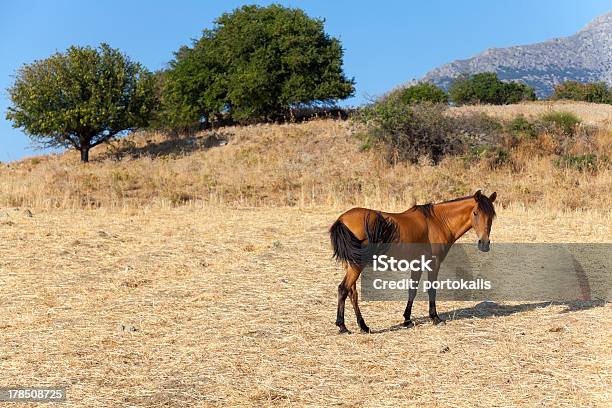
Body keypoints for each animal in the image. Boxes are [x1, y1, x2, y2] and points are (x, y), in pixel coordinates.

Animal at [330, 190, 498, 334]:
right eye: (475, 213)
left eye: (492, 216)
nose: (484, 244)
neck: (438, 222)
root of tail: (342, 220)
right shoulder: (433, 264)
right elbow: (431, 289)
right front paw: (435, 318)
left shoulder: (417, 264)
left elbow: (412, 290)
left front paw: (407, 320)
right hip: (356, 265)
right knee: (343, 289)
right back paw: (342, 326)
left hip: (351, 265)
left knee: (352, 293)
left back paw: (363, 326)